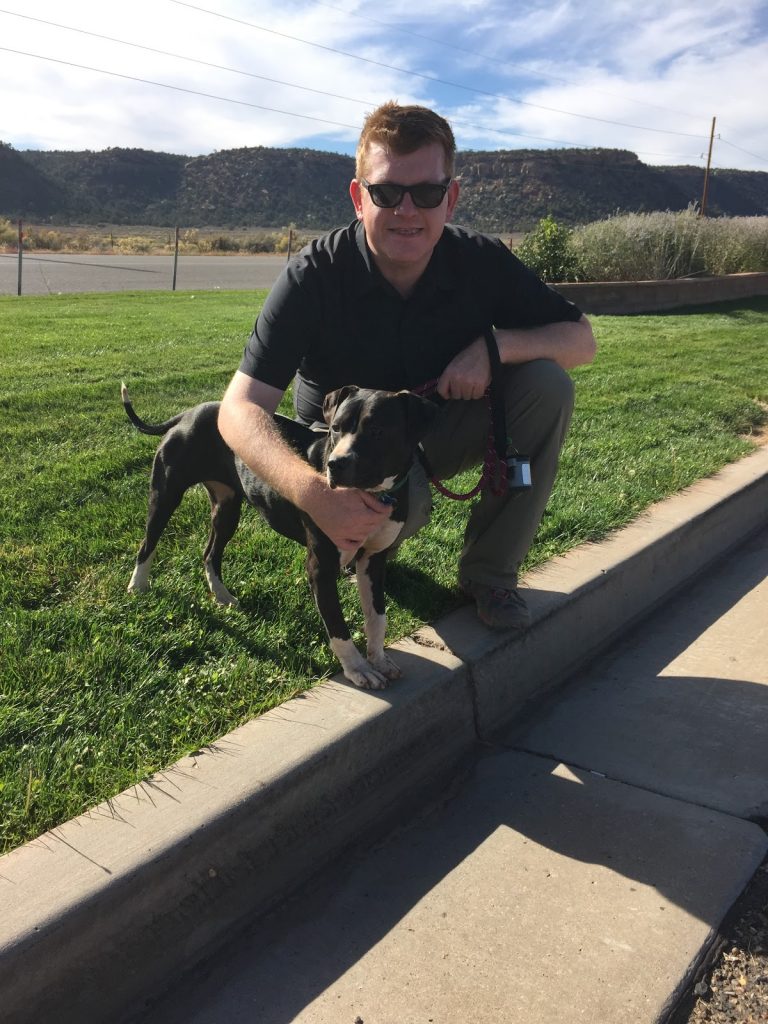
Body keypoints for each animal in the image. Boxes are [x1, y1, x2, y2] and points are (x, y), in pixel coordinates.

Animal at [120, 382, 436, 688]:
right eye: (336, 428)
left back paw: (222, 596)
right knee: (147, 543)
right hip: (165, 495)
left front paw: (379, 659)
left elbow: (377, 617)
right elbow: (338, 627)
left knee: (210, 553)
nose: (335, 464)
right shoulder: (320, 567)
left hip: (227, 507)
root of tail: (189, 413)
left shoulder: (373, 560)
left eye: (378, 431)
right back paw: (138, 585)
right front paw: (357, 669)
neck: (371, 496)